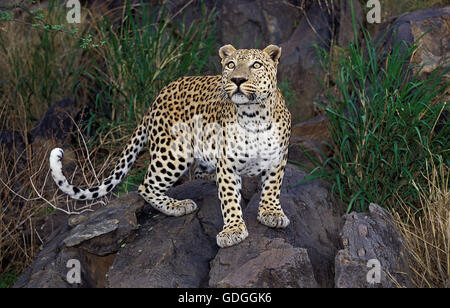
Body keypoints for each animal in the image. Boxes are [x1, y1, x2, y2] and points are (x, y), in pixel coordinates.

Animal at [51, 44, 292, 248]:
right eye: (231, 65)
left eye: (256, 65)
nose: (238, 79)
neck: (254, 117)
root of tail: (157, 98)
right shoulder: (228, 163)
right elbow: (229, 197)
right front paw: (233, 229)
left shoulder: (278, 157)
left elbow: (272, 186)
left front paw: (271, 212)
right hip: (173, 152)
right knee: (146, 186)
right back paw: (178, 206)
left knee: (198, 173)